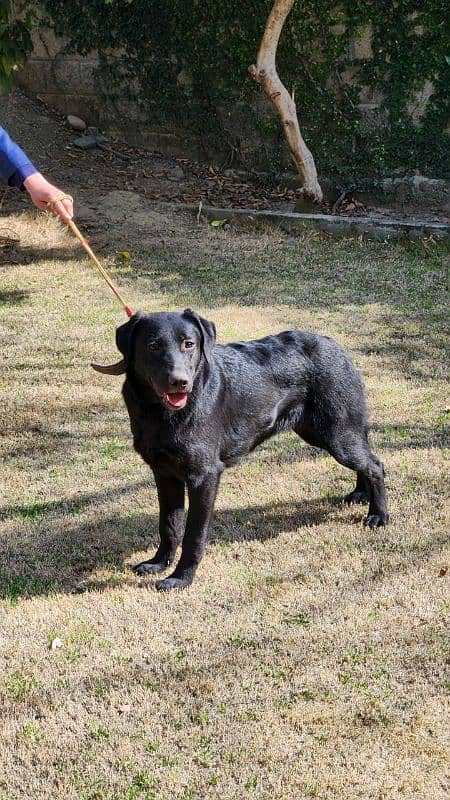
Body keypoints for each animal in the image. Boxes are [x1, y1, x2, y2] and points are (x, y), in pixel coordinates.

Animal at [91, 310, 386, 592]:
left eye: (189, 344)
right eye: (153, 346)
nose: (180, 382)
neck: (161, 413)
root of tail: (335, 345)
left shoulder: (204, 476)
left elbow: (193, 535)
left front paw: (181, 579)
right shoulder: (165, 474)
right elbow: (169, 525)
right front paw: (158, 563)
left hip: (337, 435)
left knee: (375, 465)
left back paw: (378, 515)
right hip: (323, 434)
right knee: (365, 461)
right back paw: (361, 494)